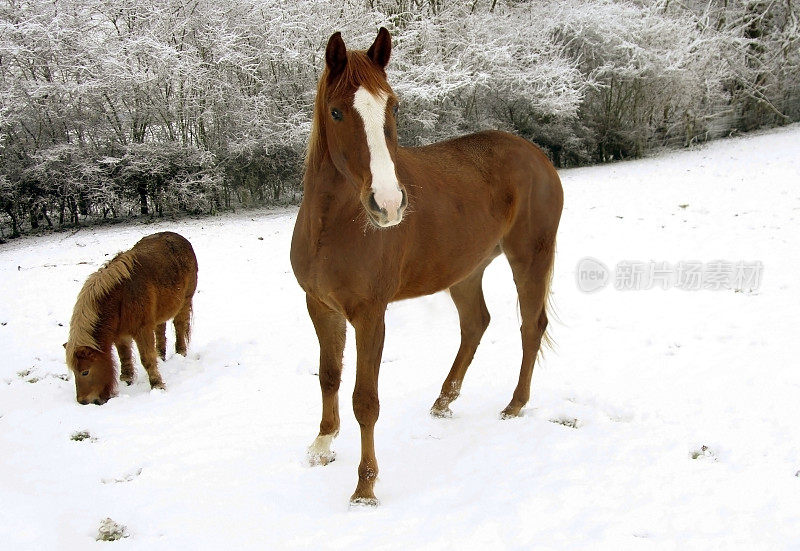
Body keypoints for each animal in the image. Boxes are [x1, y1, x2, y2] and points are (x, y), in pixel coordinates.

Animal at [65, 232, 198, 406]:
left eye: (85, 372)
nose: (83, 401)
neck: (120, 297)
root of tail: (180, 238)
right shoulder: (120, 335)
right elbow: (124, 357)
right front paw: (126, 379)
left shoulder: (142, 330)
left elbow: (147, 359)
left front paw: (157, 385)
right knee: (160, 330)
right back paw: (160, 356)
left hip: (185, 302)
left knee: (179, 326)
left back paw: (181, 352)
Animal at [292, 29, 564, 504]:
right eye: (337, 111)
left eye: (394, 105)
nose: (388, 203)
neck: (330, 227)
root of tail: (537, 155)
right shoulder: (320, 306)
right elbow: (328, 376)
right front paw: (323, 444)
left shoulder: (369, 315)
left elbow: (365, 400)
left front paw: (365, 486)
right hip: (466, 271)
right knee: (476, 323)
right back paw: (444, 400)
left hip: (530, 258)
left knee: (531, 326)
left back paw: (515, 404)